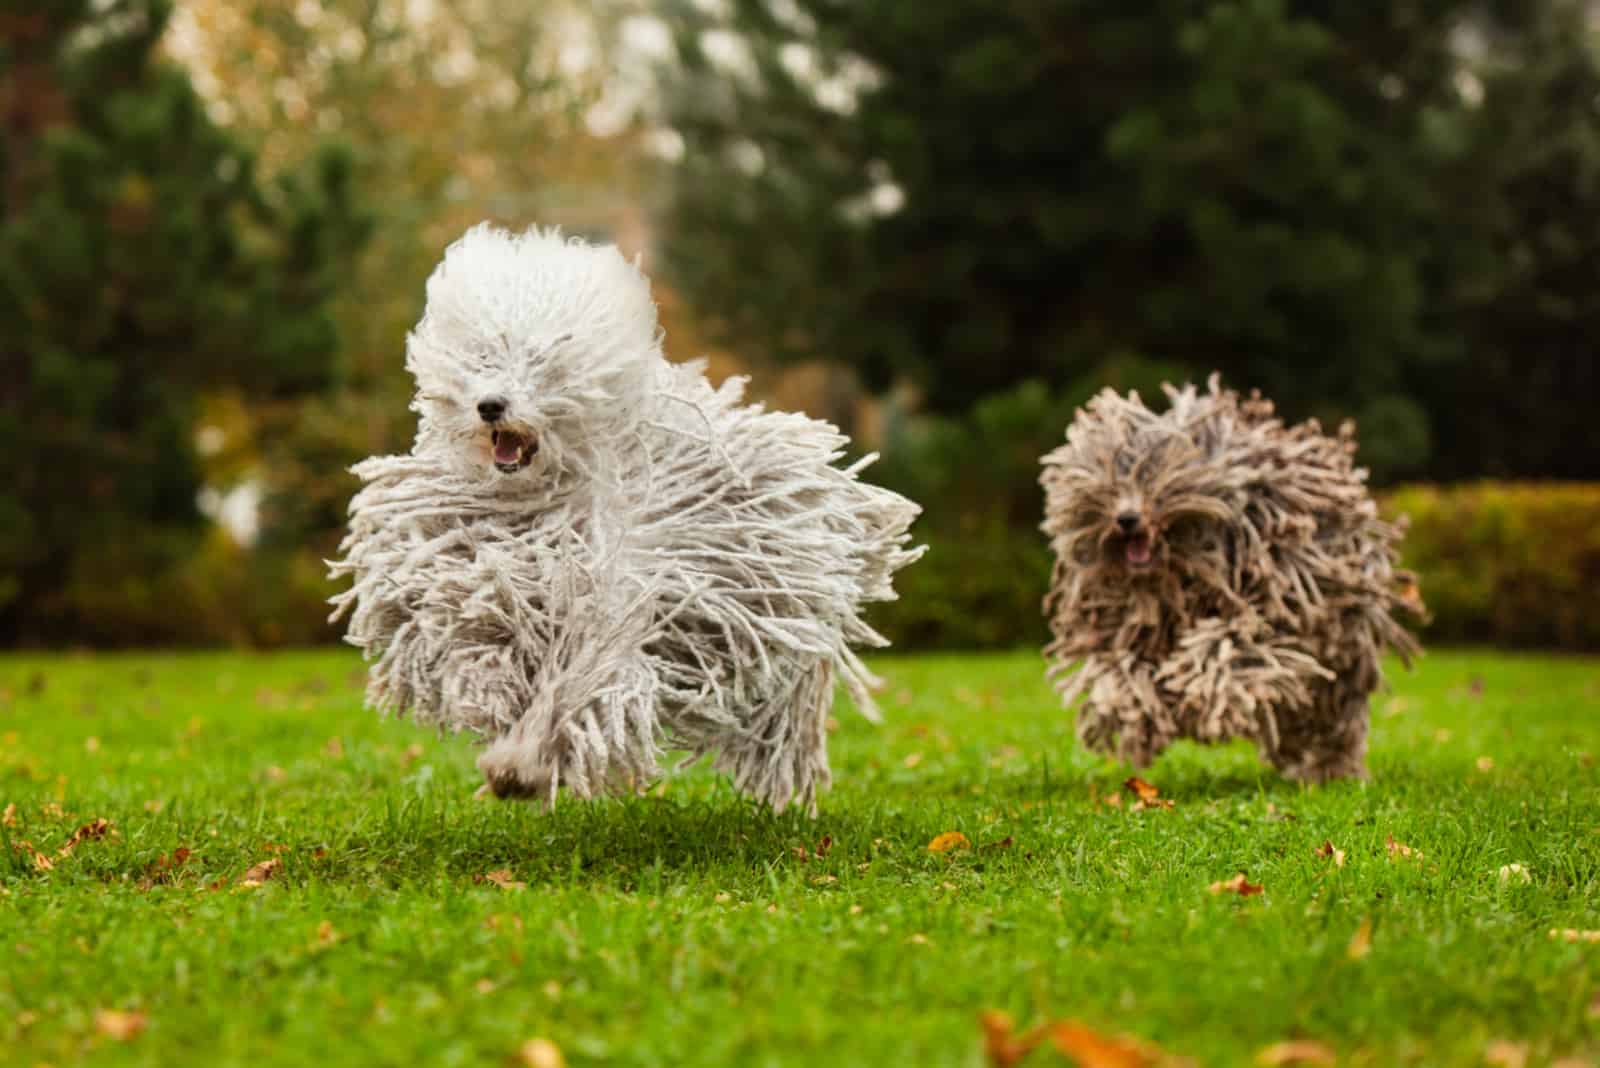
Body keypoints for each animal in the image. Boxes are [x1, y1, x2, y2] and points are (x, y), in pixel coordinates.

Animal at [328, 225, 928, 808]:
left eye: (543, 364)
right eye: (482, 358)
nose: (491, 404)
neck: (545, 493)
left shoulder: (613, 603)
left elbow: (577, 681)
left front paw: (520, 763)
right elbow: (472, 630)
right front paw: (500, 718)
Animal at [1036, 378, 1427, 780]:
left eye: (1156, 478)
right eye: (1110, 487)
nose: (1127, 518)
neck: (1177, 574)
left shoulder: (1267, 608)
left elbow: (1227, 647)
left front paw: (1202, 699)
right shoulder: (1122, 626)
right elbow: (1121, 669)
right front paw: (1137, 709)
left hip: (1345, 645)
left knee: (1336, 712)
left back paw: (1331, 769)